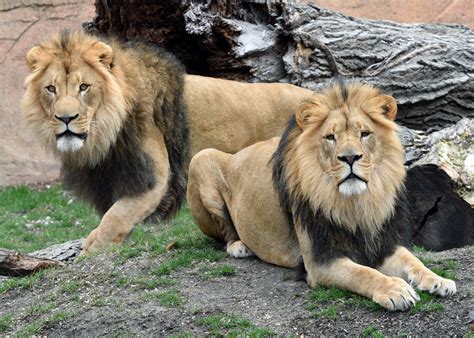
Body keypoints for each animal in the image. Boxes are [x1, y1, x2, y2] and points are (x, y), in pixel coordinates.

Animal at [20, 31, 312, 254]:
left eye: (84, 87)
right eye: (51, 89)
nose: (65, 118)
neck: (103, 135)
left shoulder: (153, 179)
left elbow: (115, 218)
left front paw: (90, 249)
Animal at [187, 82, 458, 312]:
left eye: (365, 134)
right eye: (330, 137)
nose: (350, 157)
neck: (354, 203)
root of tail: (238, 153)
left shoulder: (384, 242)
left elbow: (413, 261)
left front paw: (437, 279)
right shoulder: (320, 262)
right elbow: (363, 274)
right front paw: (394, 289)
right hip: (201, 158)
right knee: (225, 231)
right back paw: (239, 246)